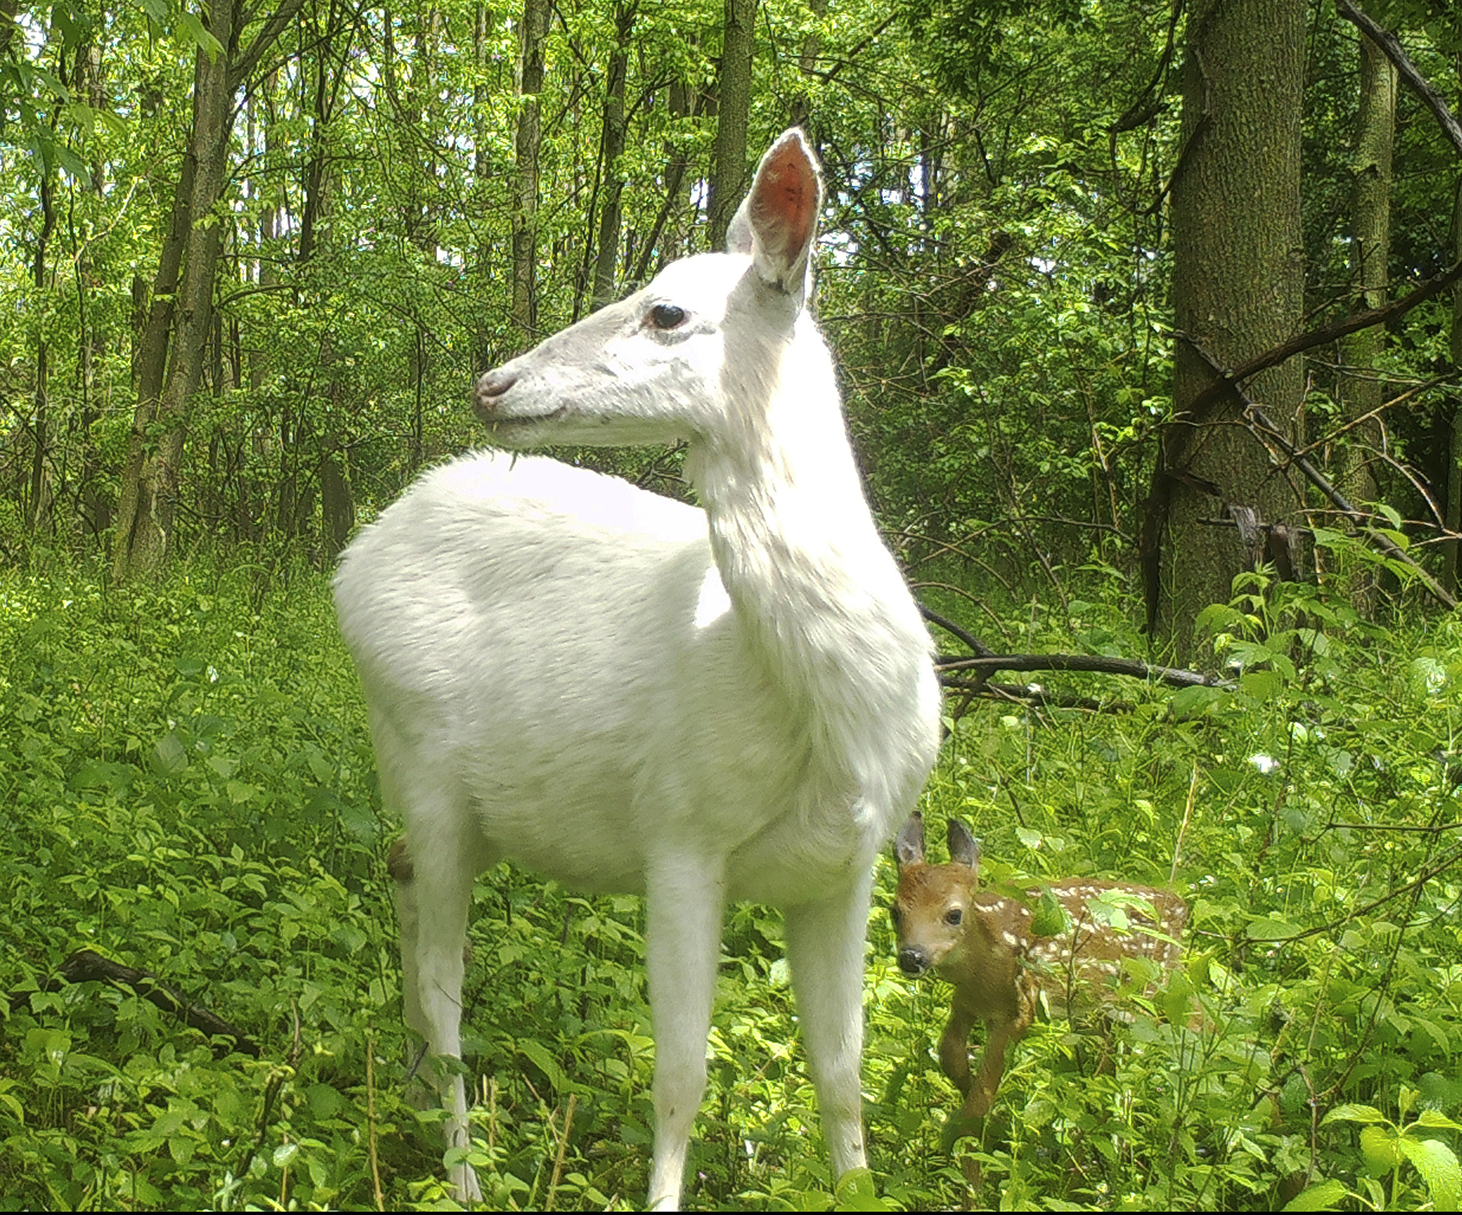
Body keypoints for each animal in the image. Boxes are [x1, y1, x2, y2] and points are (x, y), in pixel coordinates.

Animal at [332, 129, 943, 1210]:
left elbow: (840, 1072)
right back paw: (462, 1172)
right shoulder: (680, 829)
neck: (826, 717)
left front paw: (856, 1183)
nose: (493, 383)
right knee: (447, 983)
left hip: (460, 803)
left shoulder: (849, 864)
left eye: (666, 311)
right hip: (421, 759)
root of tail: (352, 556)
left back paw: (407, 1095)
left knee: (400, 882)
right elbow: (680, 1073)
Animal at [890, 812, 1188, 1123]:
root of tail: (1180, 907)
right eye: (894, 911)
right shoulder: (966, 1001)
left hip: (1150, 989)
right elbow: (950, 1054)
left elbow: (982, 1095)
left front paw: (976, 1130)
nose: (911, 957)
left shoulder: (1022, 1004)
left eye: (954, 914)